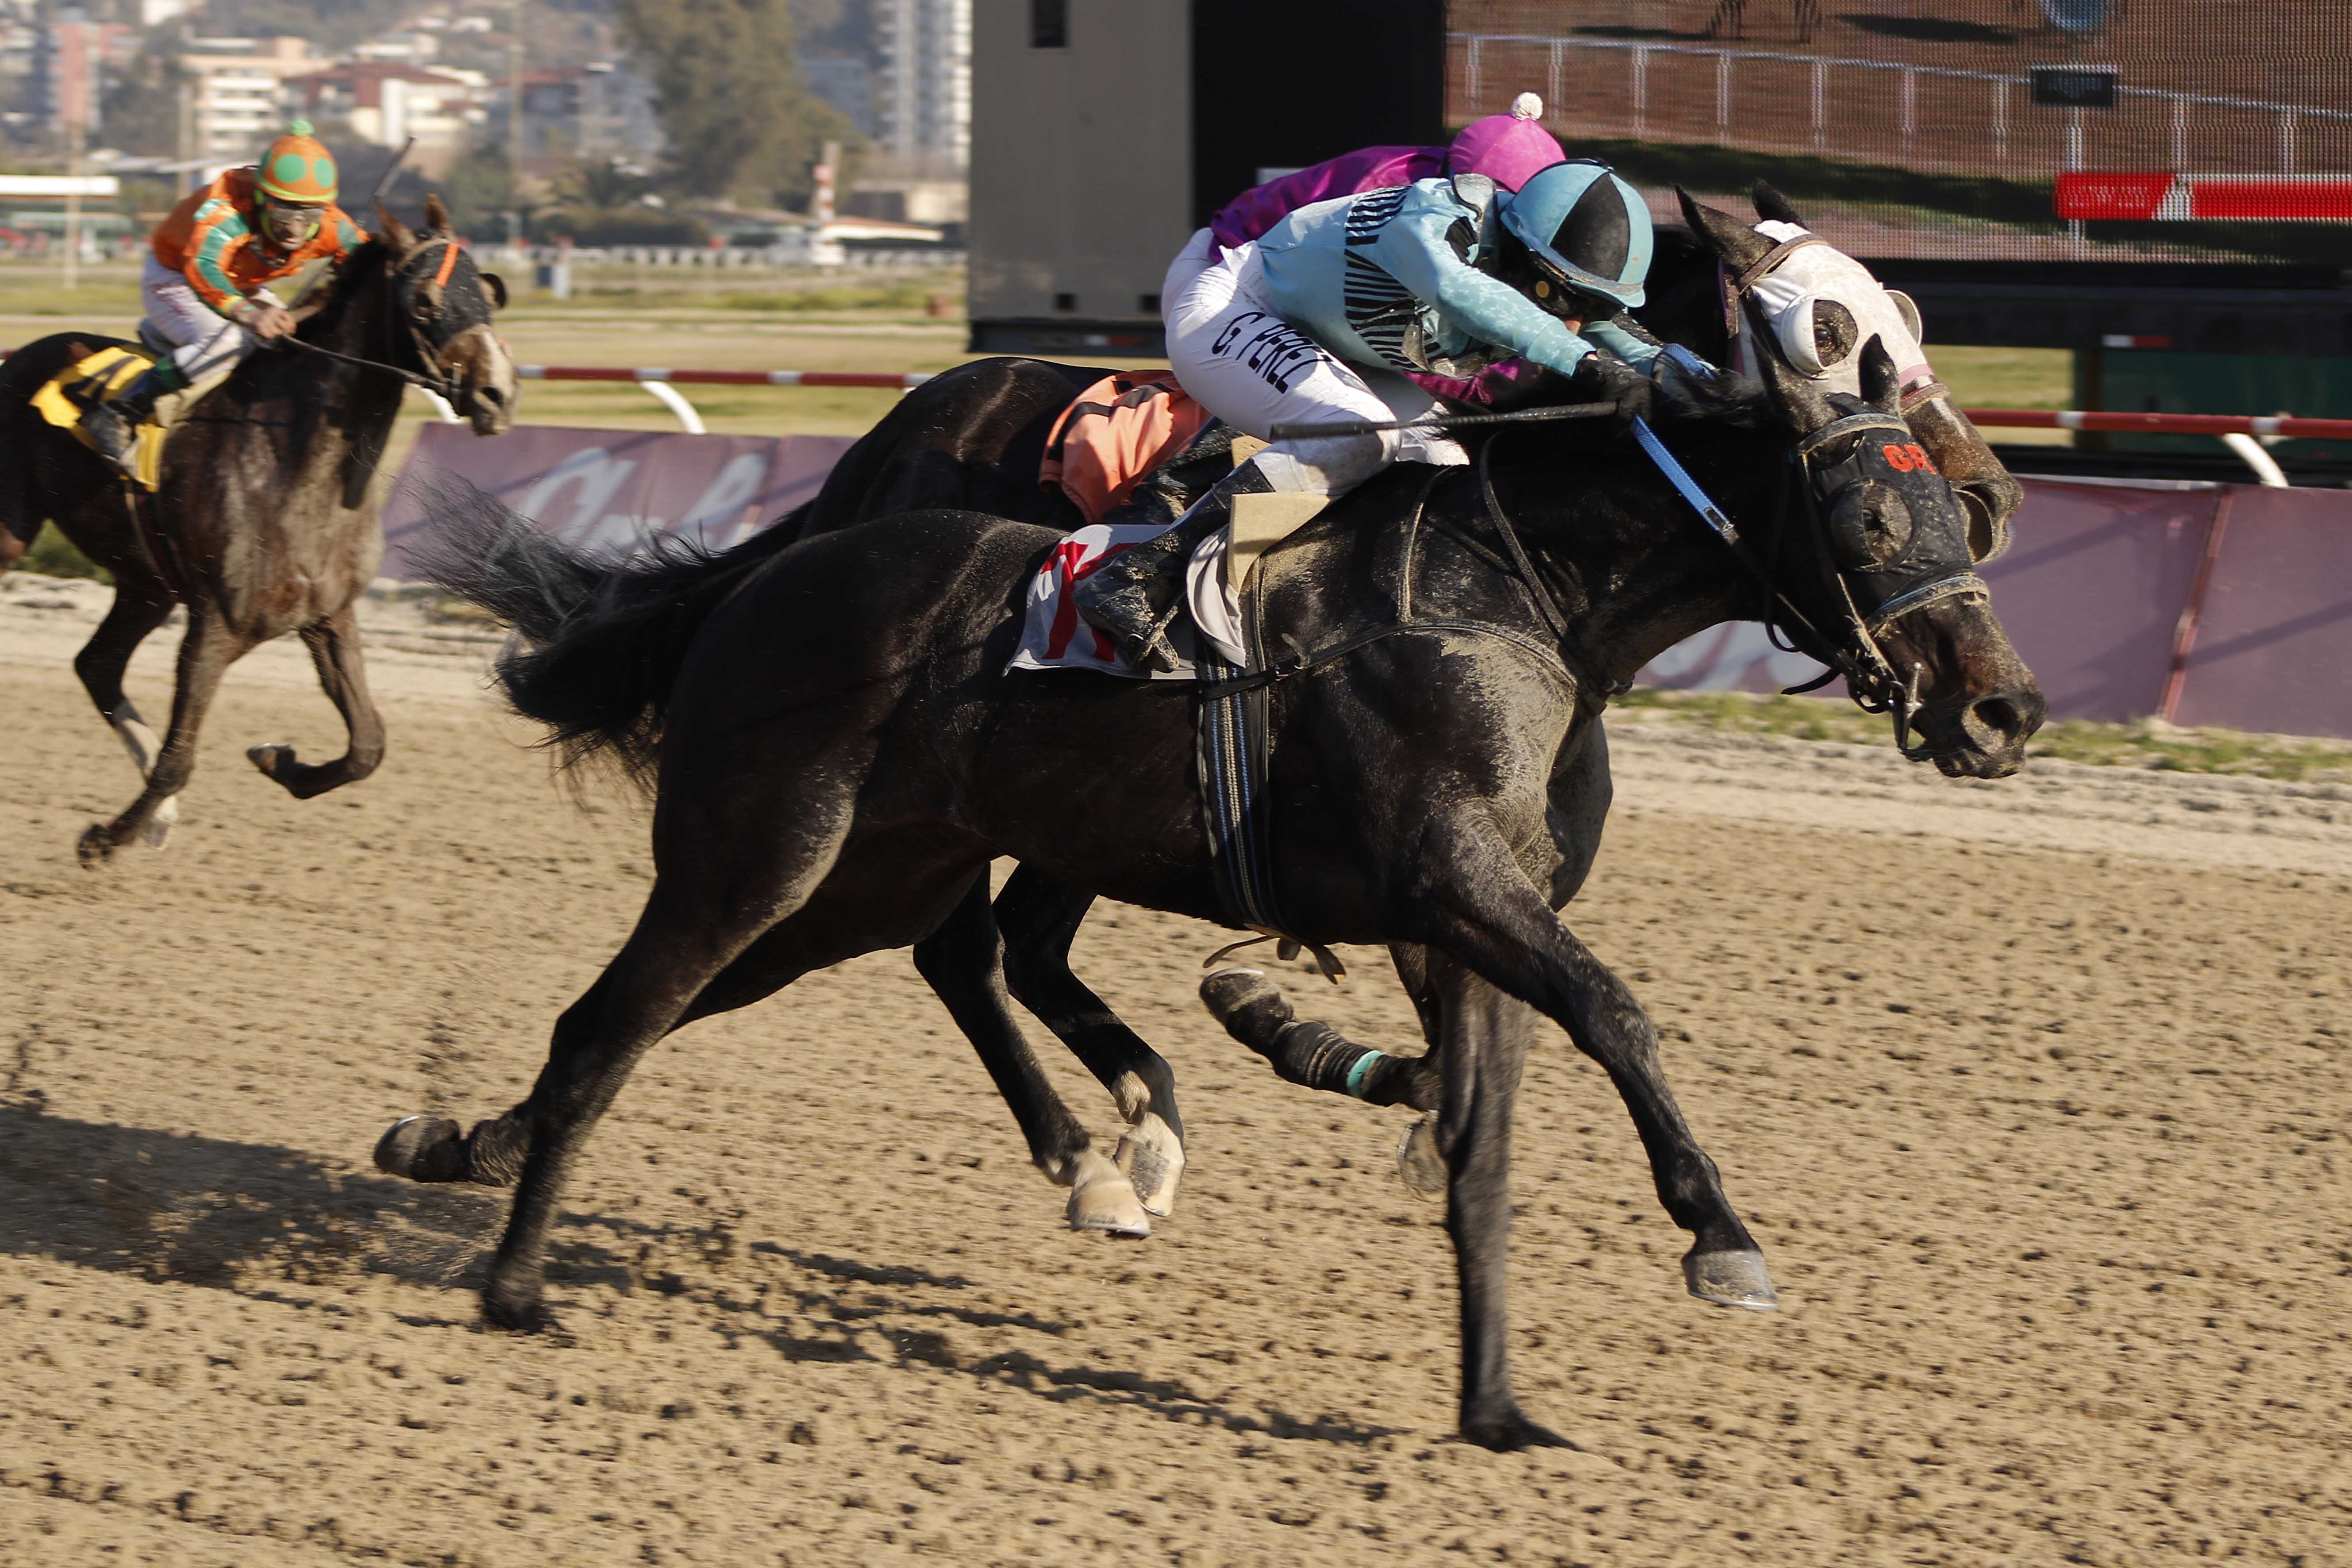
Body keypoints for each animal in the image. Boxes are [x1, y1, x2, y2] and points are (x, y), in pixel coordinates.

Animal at [0, 194, 517, 861]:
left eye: (488, 290)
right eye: (424, 301)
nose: (497, 393)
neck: (292, 467)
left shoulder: (329, 616)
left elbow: (369, 746)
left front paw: (280, 761)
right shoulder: (214, 625)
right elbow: (178, 759)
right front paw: (107, 838)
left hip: (145, 582)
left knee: (97, 664)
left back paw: (161, 816)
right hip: (16, 533)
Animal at [379, 258, 2044, 1447]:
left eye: (1947, 510)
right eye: (1869, 513)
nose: (2002, 704)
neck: (1516, 596)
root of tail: (767, 571)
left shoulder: (1470, 920)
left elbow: (1481, 1147)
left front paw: (1498, 1409)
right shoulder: (1455, 881)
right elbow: (1615, 1013)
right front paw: (1720, 1239)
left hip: (858, 880)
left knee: (758, 988)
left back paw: (467, 1146)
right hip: (759, 856)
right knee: (635, 1015)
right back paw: (518, 1285)